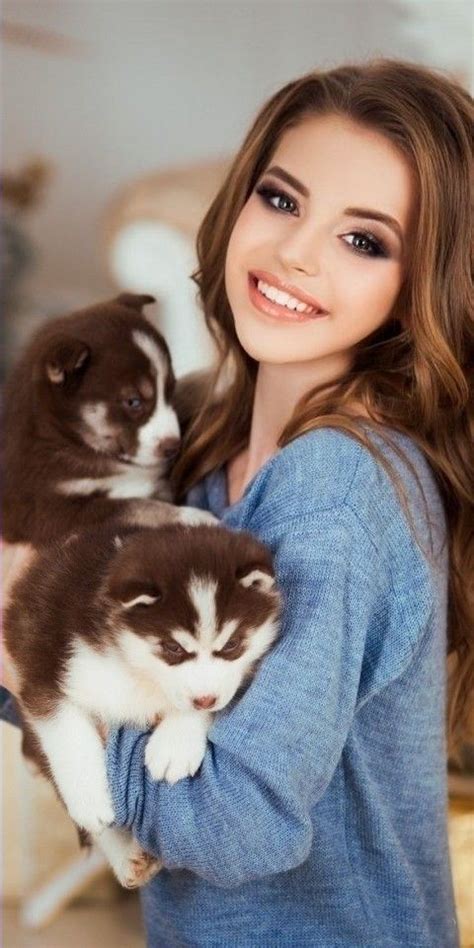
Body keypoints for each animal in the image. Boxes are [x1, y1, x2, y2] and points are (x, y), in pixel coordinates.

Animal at [4, 520, 282, 888]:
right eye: (173, 648)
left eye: (232, 645)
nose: (204, 698)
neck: (137, 671)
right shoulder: (41, 663)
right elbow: (65, 731)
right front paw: (88, 794)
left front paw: (176, 743)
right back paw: (123, 853)